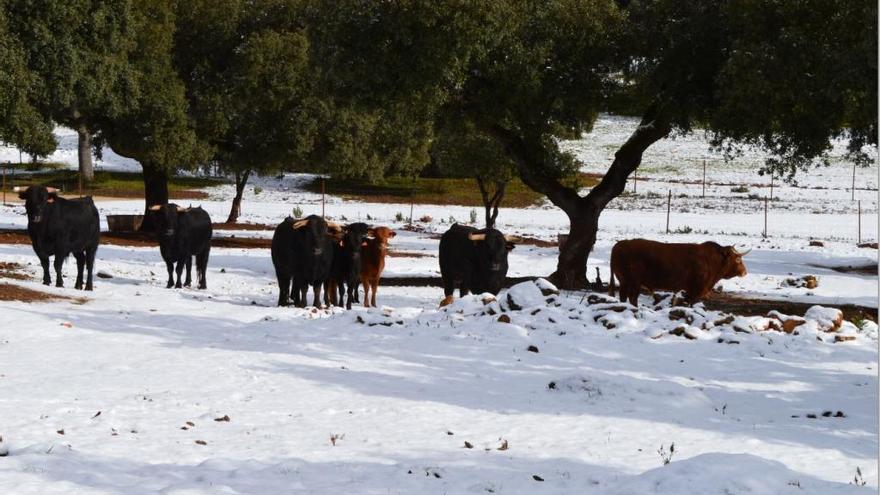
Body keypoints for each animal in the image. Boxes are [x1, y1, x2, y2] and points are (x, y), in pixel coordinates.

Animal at [612, 240, 748, 306]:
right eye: (738, 259)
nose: (745, 272)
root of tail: (621, 243)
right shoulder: (695, 289)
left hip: (624, 281)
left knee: (624, 296)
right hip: (633, 282)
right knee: (632, 298)